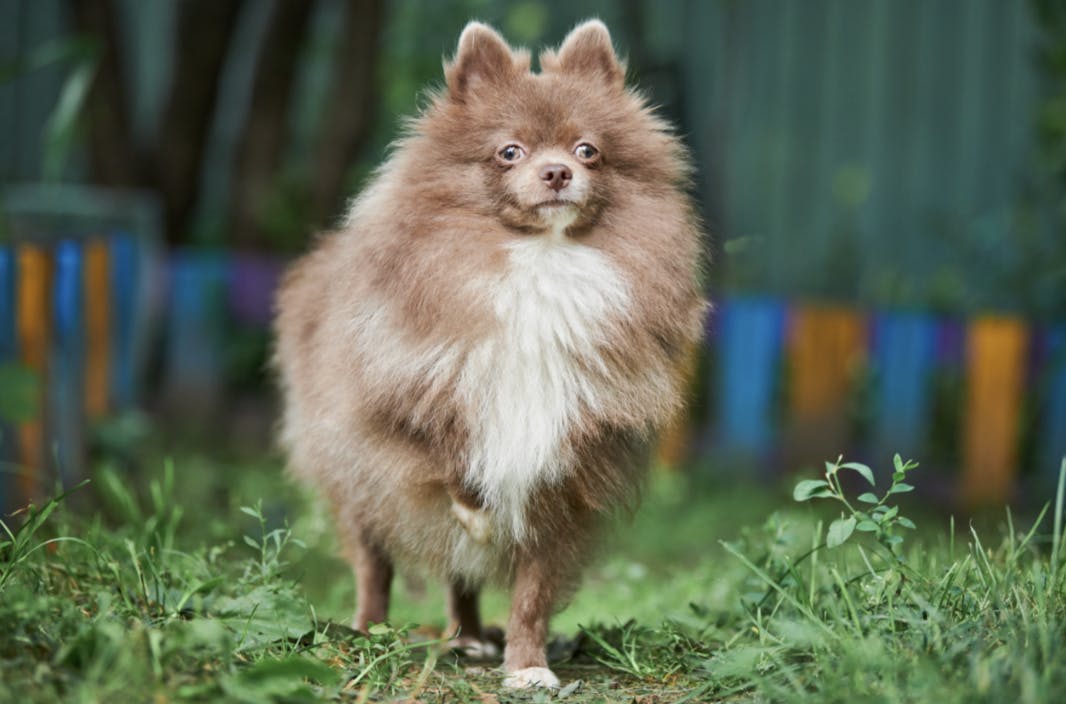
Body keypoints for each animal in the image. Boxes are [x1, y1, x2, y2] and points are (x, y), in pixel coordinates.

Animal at [275, 19, 707, 691]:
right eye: (510, 152)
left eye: (587, 150)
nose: (556, 173)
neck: (541, 268)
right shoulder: (410, 399)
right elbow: (453, 456)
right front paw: (476, 508)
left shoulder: (564, 481)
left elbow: (531, 595)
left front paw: (527, 667)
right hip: (355, 479)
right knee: (375, 565)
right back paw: (368, 632)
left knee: (462, 576)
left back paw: (471, 637)